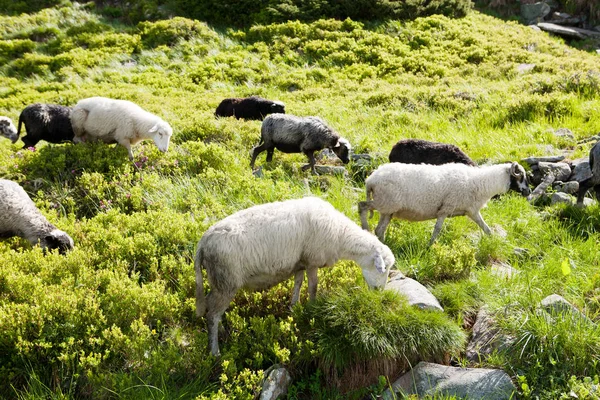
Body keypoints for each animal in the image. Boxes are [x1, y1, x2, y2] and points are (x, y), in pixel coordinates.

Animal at [195, 195, 396, 354]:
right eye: (384, 268)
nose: (379, 292)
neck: (341, 235)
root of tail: (203, 242)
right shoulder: (312, 260)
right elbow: (314, 286)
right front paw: (312, 308)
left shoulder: (300, 263)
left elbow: (298, 283)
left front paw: (294, 306)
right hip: (226, 281)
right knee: (213, 315)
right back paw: (215, 352)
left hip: (218, 280)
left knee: (210, 306)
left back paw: (221, 331)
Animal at [356, 162, 528, 244]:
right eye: (520, 176)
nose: (528, 192)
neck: (480, 183)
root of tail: (371, 179)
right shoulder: (446, 209)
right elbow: (437, 229)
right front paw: (430, 245)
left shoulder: (471, 211)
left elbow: (485, 228)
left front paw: (493, 239)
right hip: (384, 202)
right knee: (362, 206)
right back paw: (365, 228)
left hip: (388, 209)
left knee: (380, 229)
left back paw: (383, 243)